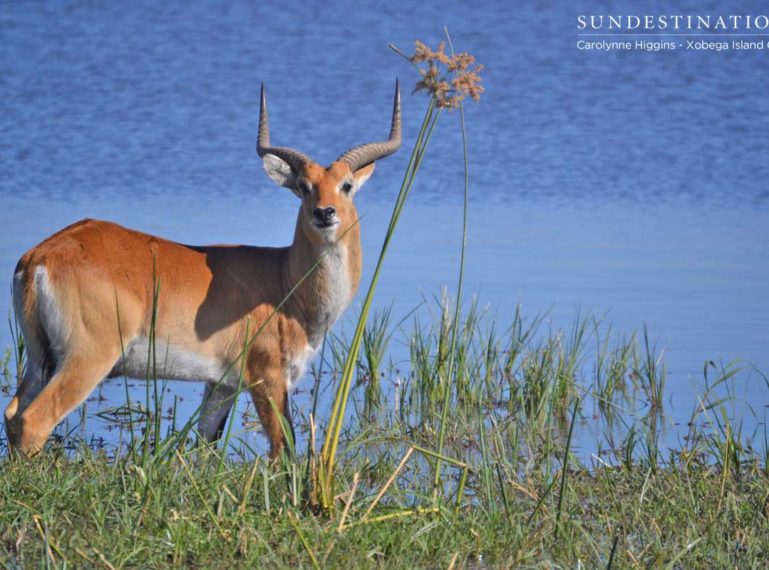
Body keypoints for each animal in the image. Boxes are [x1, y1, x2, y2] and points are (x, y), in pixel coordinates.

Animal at [4, 81, 402, 458]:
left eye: (345, 186)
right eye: (304, 187)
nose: (324, 212)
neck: (285, 281)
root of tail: (40, 255)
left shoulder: (221, 384)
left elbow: (204, 443)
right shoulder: (267, 376)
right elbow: (283, 447)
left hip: (41, 359)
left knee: (12, 414)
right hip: (87, 358)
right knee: (34, 420)